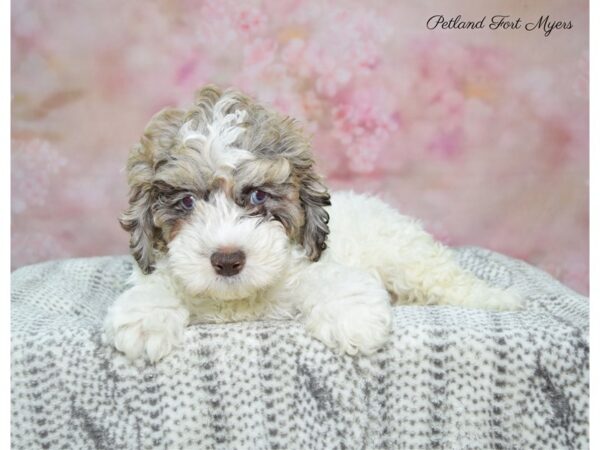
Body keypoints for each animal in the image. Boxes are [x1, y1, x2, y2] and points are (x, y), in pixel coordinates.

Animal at [105, 85, 524, 362]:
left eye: (258, 196)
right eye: (187, 202)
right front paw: (145, 318)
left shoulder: (312, 265)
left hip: (409, 259)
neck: (242, 301)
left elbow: (335, 282)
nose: (227, 260)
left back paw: (497, 299)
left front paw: (353, 319)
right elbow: (155, 285)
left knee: (448, 281)